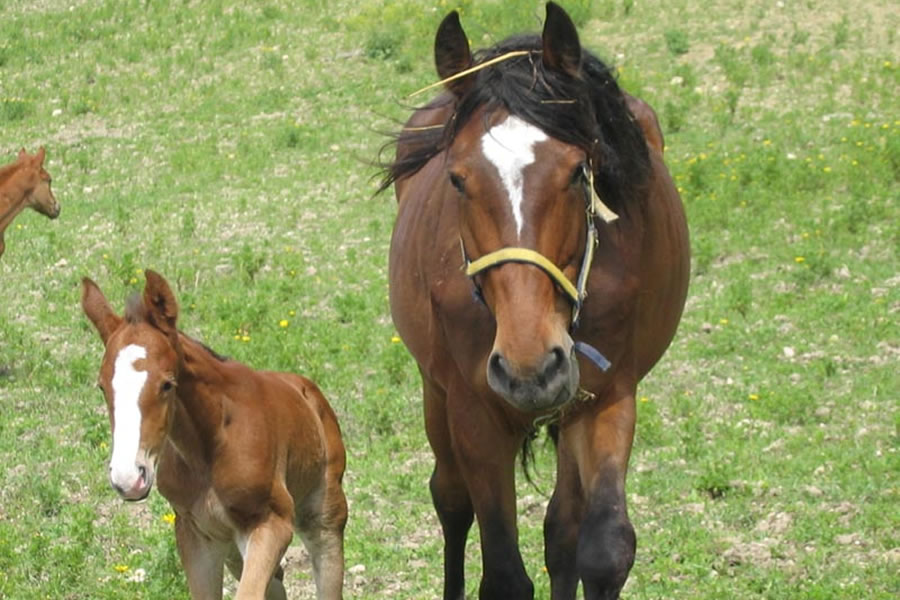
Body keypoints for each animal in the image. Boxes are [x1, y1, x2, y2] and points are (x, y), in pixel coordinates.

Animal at [81, 272, 348, 600]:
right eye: (102, 386)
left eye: (167, 384)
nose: (128, 478)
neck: (208, 448)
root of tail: (309, 392)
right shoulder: (195, 533)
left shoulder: (272, 523)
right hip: (232, 548)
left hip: (323, 519)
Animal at [382, 2, 688, 596]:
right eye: (457, 179)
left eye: (577, 171)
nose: (530, 367)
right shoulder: (475, 409)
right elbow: (502, 571)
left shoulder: (608, 392)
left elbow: (604, 547)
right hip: (437, 389)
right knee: (451, 500)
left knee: (561, 528)